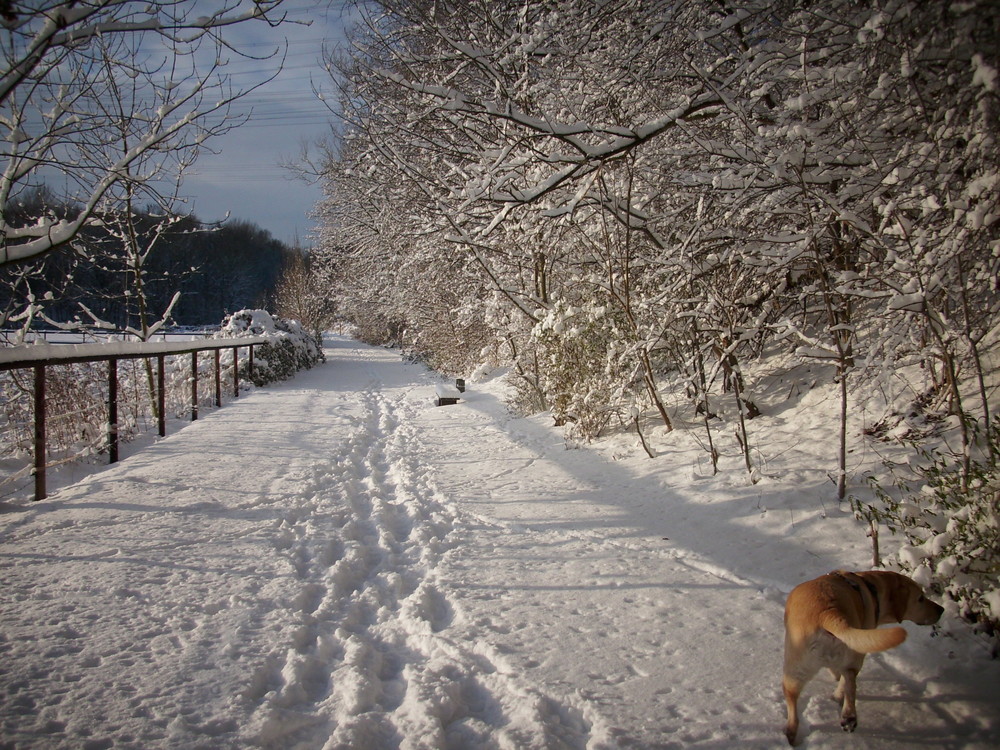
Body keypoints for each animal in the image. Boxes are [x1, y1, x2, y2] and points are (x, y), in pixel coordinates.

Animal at [784, 568, 940, 748]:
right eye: (920, 598)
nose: (941, 609)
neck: (873, 589)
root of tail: (829, 613)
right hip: (852, 655)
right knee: (849, 680)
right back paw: (848, 716)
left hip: (797, 671)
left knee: (794, 707)